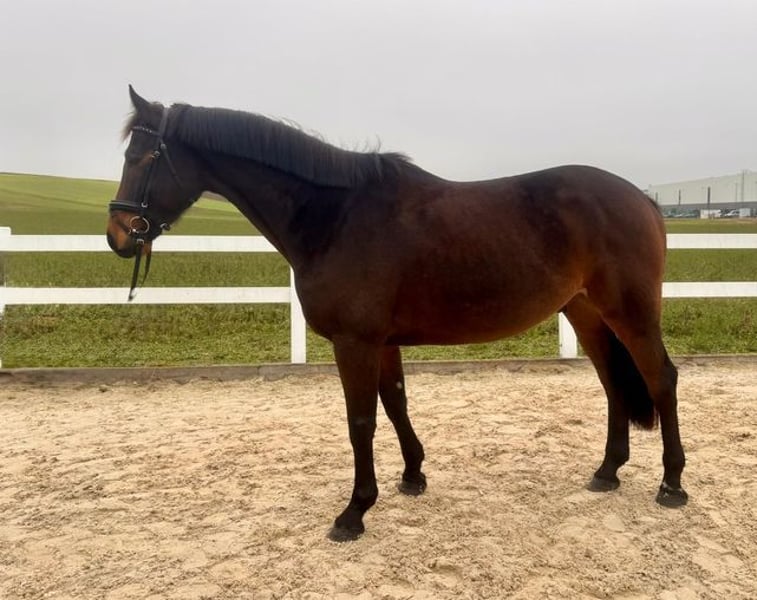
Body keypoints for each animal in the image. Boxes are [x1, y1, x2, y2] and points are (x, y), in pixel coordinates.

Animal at [106, 86, 688, 541]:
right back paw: (607, 471)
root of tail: (642, 198)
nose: (118, 235)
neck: (336, 216)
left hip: (631, 313)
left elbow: (360, 420)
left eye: (141, 159)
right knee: (613, 383)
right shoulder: (382, 342)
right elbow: (396, 404)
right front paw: (412, 477)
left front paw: (355, 510)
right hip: (586, 313)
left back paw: (672, 484)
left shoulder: (354, 342)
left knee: (660, 377)